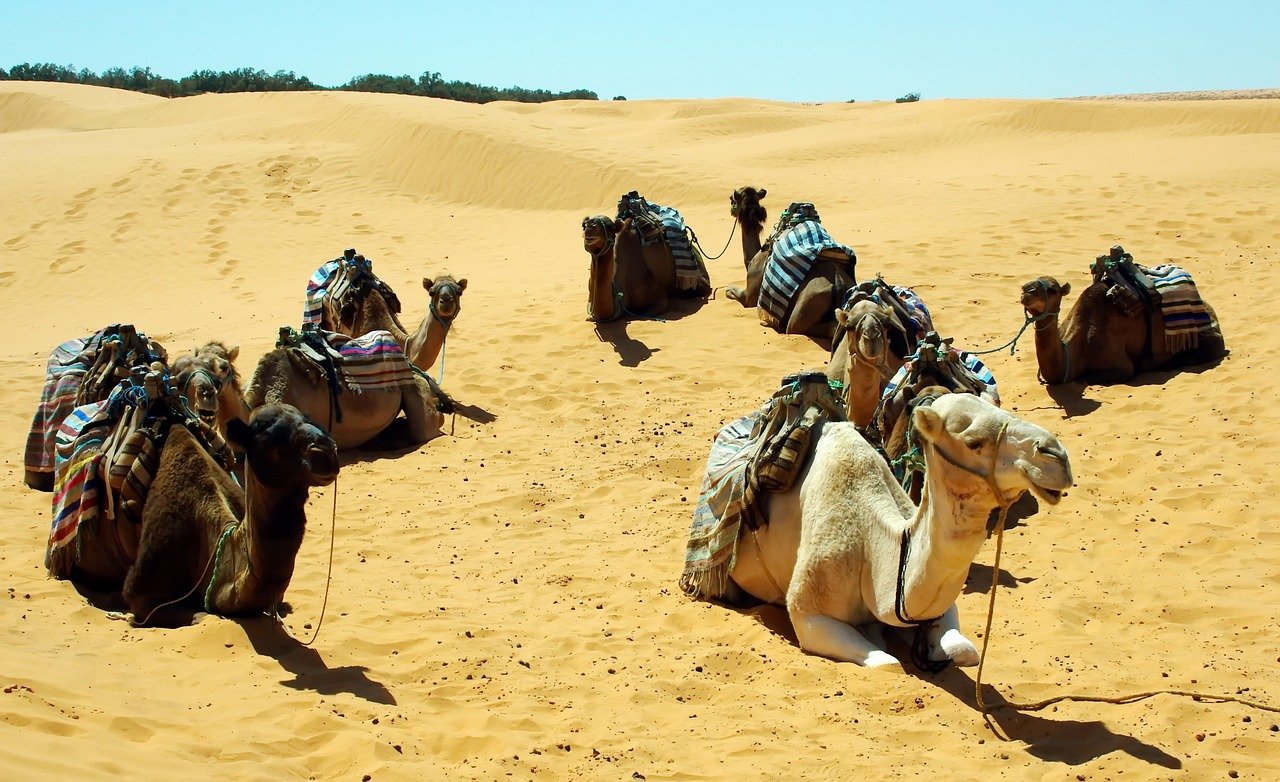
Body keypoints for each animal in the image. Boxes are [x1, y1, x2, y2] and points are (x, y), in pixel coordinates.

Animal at [1020, 272, 1225, 384]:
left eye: (1053, 290)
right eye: (1028, 285)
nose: (1027, 290)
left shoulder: (1121, 365)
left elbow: (1087, 377)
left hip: (1209, 337)